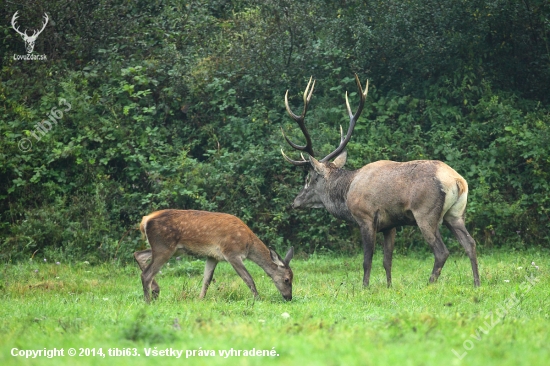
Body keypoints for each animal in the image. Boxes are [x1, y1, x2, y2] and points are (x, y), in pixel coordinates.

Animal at [134, 210, 296, 302]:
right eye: (287, 279)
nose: (289, 297)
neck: (248, 244)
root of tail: (145, 220)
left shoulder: (213, 256)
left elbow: (207, 279)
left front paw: (200, 299)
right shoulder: (231, 253)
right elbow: (248, 278)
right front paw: (257, 299)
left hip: (167, 249)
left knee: (138, 254)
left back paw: (155, 291)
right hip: (164, 246)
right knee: (146, 273)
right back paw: (148, 301)